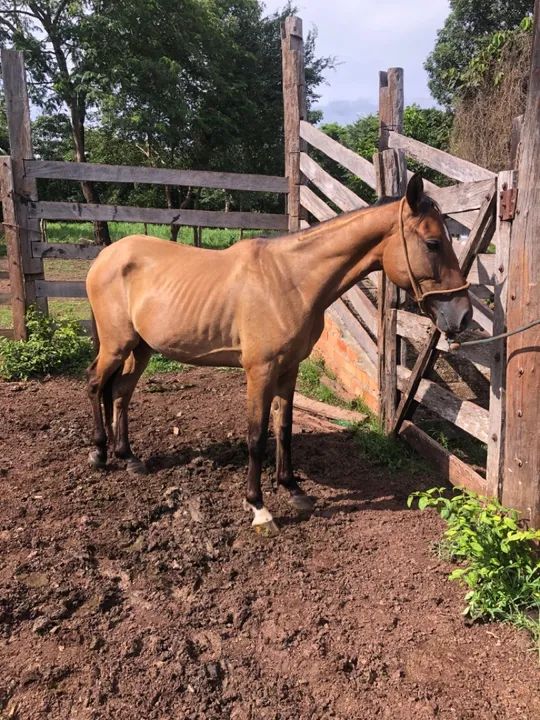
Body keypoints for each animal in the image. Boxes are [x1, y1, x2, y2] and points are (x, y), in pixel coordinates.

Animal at [85, 174, 472, 535]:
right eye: (433, 243)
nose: (463, 315)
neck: (290, 281)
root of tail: (104, 257)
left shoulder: (289, 369)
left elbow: (283, 428)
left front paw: (293, 489)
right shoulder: (260, 371)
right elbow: (257, 436)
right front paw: (258, 507)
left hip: (141, 348)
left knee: (120, 392)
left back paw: (129, 457)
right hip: (117, 345)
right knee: (95, 386)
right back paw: (100, 453)